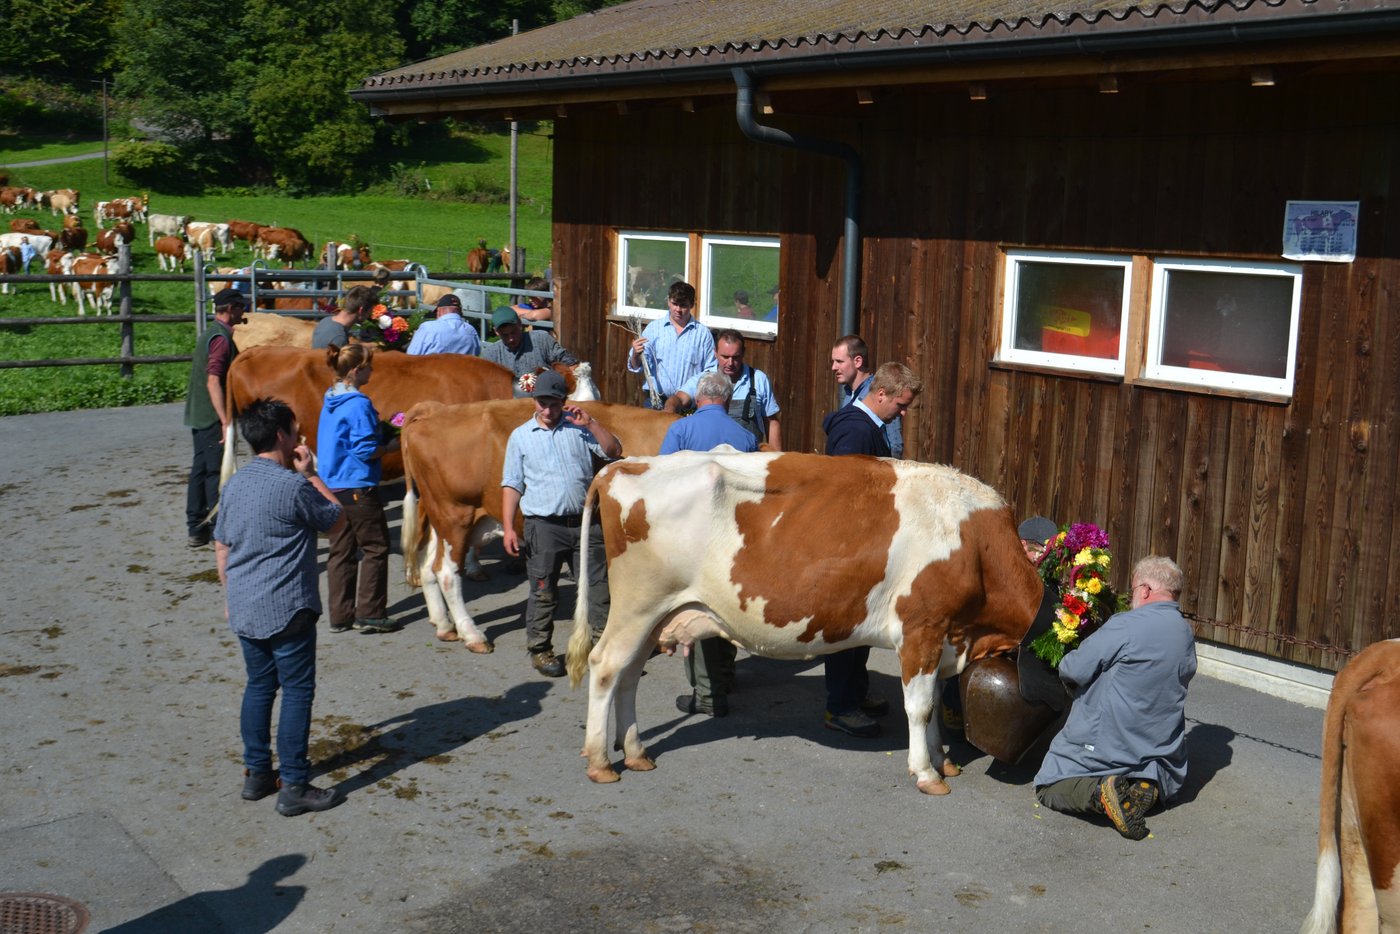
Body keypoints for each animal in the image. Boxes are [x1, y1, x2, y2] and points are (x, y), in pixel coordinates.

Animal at [399, 400, 678, 649]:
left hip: (441, 517)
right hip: (455, 514)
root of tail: (434, 410)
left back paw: (444, 625)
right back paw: (472, 635)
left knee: (428, 565)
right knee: (446, 571)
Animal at [564, 452, 1044, 795]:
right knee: (606, 667)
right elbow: (920, 706)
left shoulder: (946, 637)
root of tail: (624, 464)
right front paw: (926, 772)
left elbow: (936, 708)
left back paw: (635, 751)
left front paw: (943, 759)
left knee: (628, 676)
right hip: (637, 604)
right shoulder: (921, 627)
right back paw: (600, 761)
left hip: (655, 616)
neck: (977, 544)